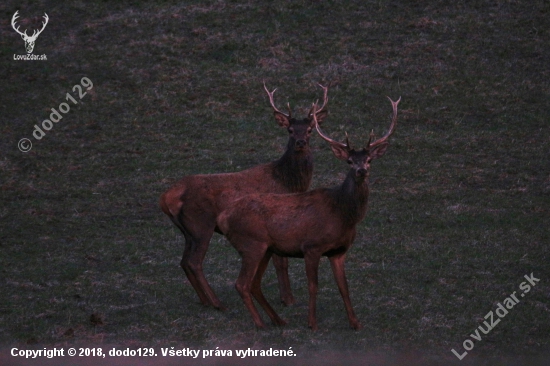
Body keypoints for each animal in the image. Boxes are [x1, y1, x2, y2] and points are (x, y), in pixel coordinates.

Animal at [162, 83, 330, 308]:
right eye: (290, 130)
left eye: (310, 130)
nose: (301, 142)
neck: (289, 182)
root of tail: (167, 197)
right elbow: (281, 262)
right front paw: (288, 299)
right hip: (201, 224)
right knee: (194, 262)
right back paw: (216, 302)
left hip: (187, 230)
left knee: (183, 261)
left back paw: (205, 300)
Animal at [218, 96, 404, 328]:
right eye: (349, 161)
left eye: (369, 160)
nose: (361, 170)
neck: (342, 214)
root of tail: (222, 217)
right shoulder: (311, 246)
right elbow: (313, 286)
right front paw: (312, 323)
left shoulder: (339, 251)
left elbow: (344, 287)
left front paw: (355, 323)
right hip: (252, 244)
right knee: (242, 283)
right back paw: (260, 323)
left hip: (265, 248)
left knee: (254, 284)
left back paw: (278, 320)